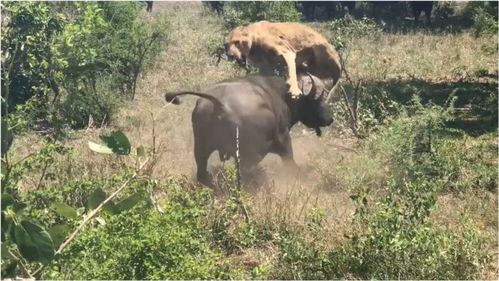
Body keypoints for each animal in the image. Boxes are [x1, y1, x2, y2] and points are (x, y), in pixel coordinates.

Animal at [166, 74, 334, 186]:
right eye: (318, 99)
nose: (330, 118)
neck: (282, 97)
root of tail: (219, 103)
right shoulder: (283, 140)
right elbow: (291, 163)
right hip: (252, 151)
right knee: (246, 171)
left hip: (201, 146)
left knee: (202, 173)